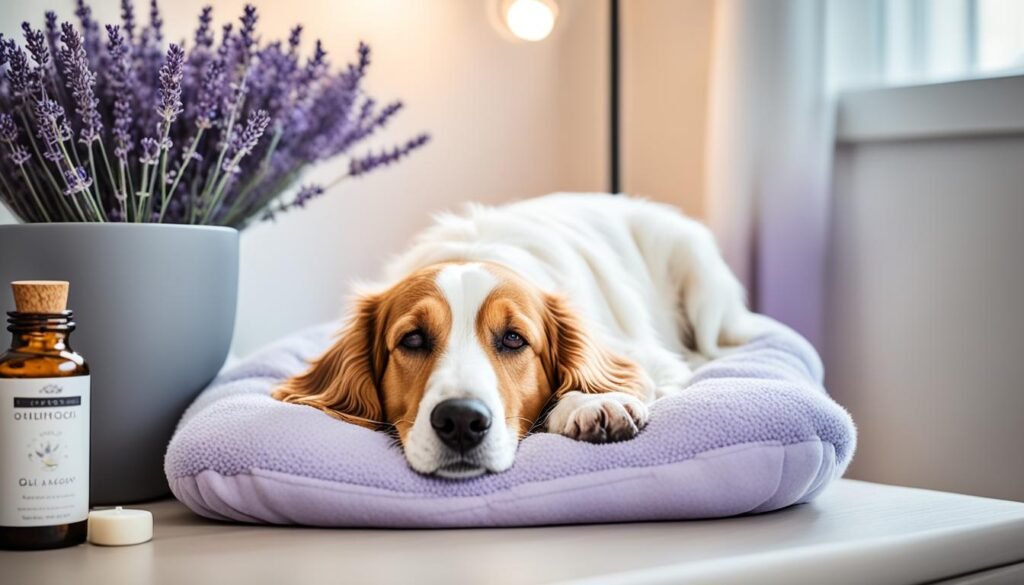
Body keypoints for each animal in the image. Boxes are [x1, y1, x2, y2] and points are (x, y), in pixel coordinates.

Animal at [272, 194, 770, 477]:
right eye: (412, 340)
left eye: (514, 339)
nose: (460, 421)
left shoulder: (648, 358)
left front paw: (591, 403)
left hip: (699, 276)